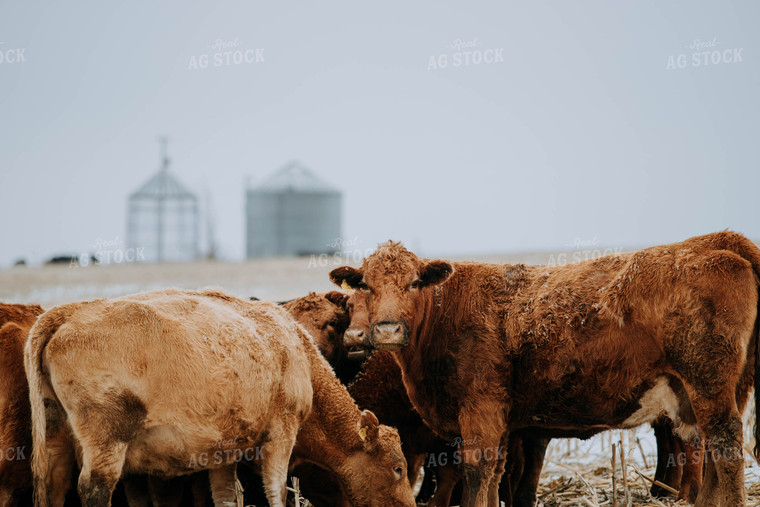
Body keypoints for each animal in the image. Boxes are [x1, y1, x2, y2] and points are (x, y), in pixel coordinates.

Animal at [25, 290, 416, 507]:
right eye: (398, 469)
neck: (297, 353)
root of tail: (67, 313)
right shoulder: (281, 433)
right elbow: (276, 492)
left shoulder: (222, 452)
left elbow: (226, 496)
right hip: (107, 439)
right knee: (94, 489)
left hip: (57, 435)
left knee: (55, 487)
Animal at [332, 233, 760, 507]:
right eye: (366, 285)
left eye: (416, 282)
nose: (387, 329)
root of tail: (713, 241)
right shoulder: (501, 425)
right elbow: (495, 479)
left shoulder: (480, 413)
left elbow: (477, 476)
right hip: (718, 391)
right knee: (712, 456)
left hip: (708, 384)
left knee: (725, 448)